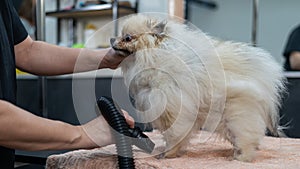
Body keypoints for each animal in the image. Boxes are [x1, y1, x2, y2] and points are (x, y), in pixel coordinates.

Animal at [109, 13, 286, 162]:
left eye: (127, 38)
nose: (111, 39)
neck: (154, 58)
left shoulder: (170, 105)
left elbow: (174, 134)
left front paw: (169, 153)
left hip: (237, 114)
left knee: (247, 137)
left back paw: (242, 157)